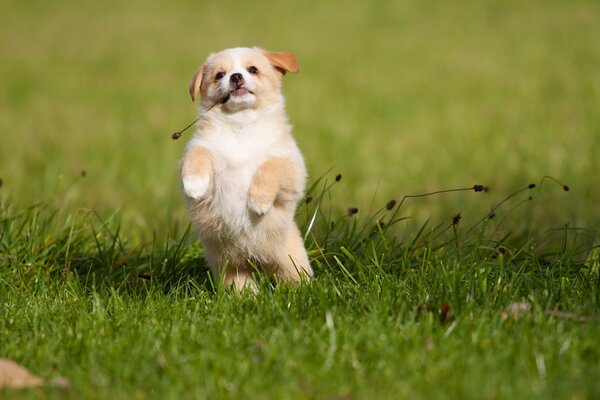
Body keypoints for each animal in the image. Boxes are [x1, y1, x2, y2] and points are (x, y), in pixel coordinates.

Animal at [182, 47, 314, 290]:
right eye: (220, 75)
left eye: (252, 69)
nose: (235, 76)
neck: (241, 126)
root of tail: (256, 260)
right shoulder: (203, 146)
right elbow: (198, 153)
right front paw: (194, 184)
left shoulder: (291, 166)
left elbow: (270, 165)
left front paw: (258, 202)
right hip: (231, 267)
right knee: (241, 284)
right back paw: (246, 297)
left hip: (291, 261)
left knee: (295, 277)